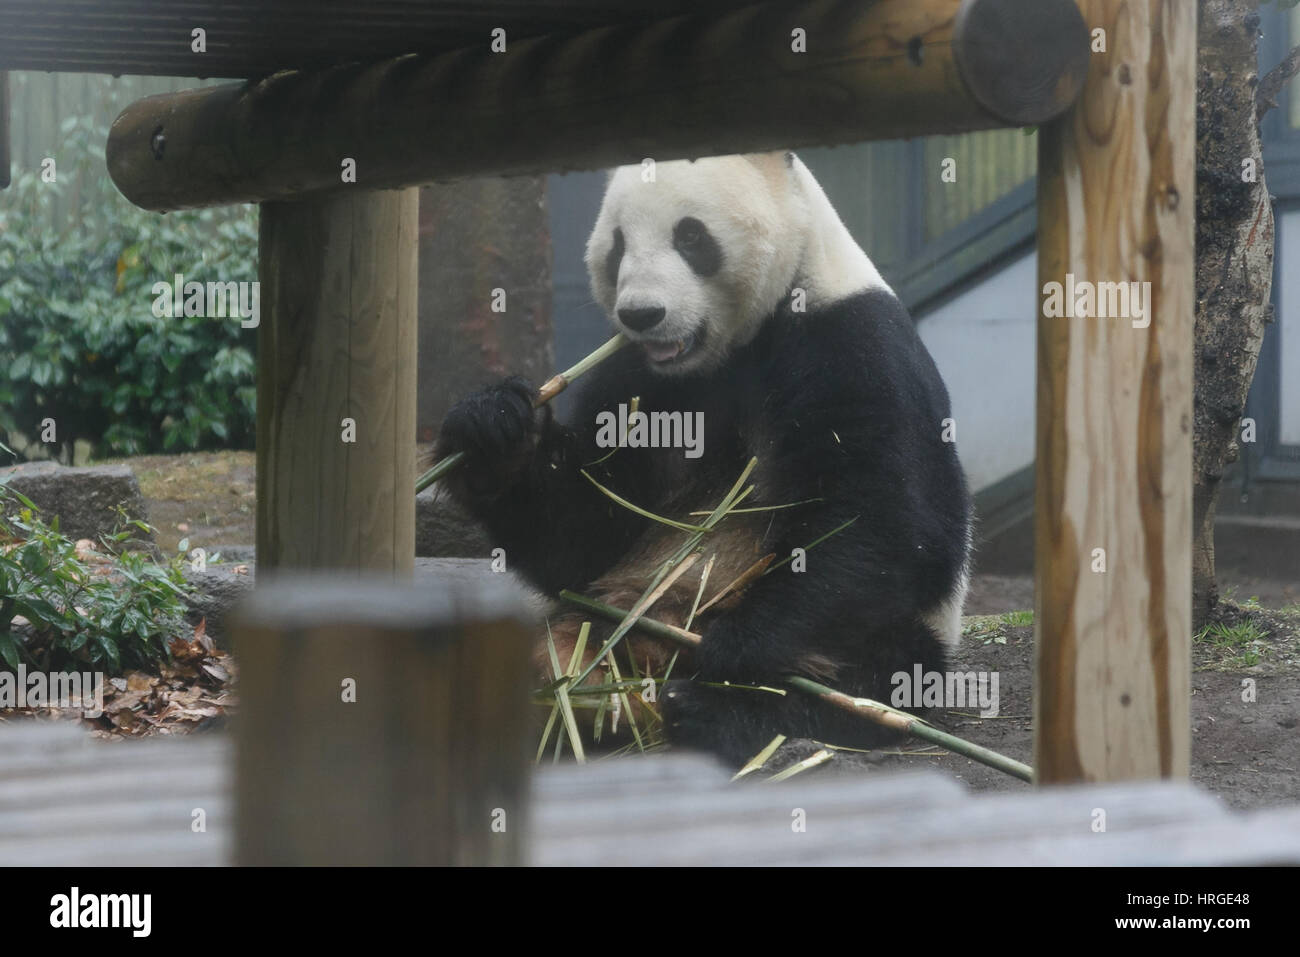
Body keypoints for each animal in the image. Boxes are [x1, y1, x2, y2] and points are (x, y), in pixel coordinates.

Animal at [441, 153, 972, 764]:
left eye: (690, 236)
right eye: (618, 244)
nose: (642, 314)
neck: (728, 350)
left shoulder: (852, 341)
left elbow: (886, 519)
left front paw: (736, 647)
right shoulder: (640, 381)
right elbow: (588, 531)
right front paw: (495, 428)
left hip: (894, 632)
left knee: (871, 676)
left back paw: (712, 710)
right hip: (603, 614)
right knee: (547, 647)